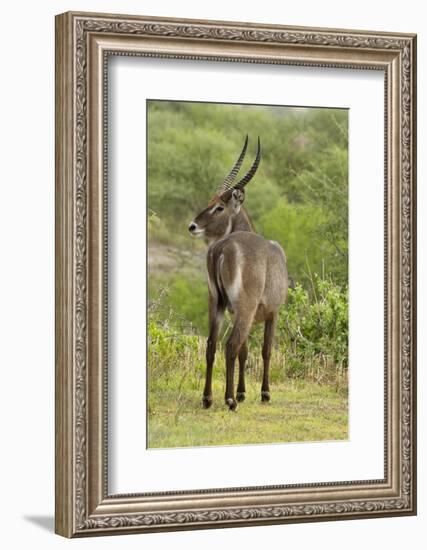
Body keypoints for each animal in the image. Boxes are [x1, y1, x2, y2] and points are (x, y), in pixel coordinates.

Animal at [189, 136, 290, 412]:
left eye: (218, 207)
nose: (192, 226)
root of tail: (222, 248)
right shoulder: (272, 312)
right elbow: (264, 349)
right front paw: (263, 393)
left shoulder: (242, 313)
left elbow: (245, 351)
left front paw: (243, 391)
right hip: (244, 307)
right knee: (230, 345)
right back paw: (229, 400)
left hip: (216, 303)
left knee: (212, 344)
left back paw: (208, 398)